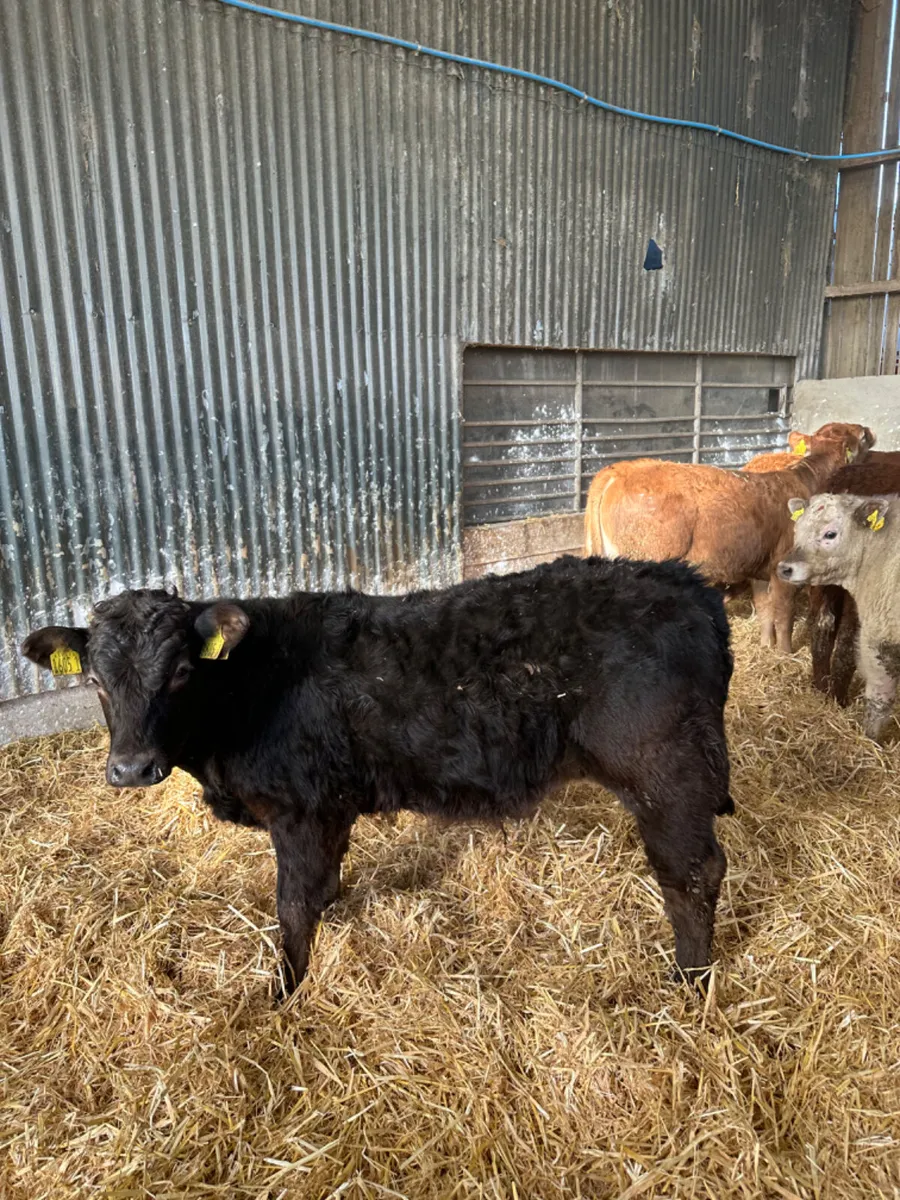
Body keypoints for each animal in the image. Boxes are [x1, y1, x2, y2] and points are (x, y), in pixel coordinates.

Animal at [23, 557, 734, 996]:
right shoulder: (330, 807)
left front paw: (284, 992)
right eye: (95, 680)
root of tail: (686, 582)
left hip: (663, 771)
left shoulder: (299, 810)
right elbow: (323, 886)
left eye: (178, 672)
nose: (131, 768)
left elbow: (291, 904)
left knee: (693, 873)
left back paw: (688, 982)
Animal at [583, 428, 867, 654]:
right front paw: (785, 653)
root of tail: (621, 470)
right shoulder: (786, 569)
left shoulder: (760, 569)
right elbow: (784, 614)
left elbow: (765, 609)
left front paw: (766, 646)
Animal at [777, 493, 900, 740]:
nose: (785, 568)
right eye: (797, 530)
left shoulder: (879, 638)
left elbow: (879, 701)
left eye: (830, 534)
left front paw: (870, 739)